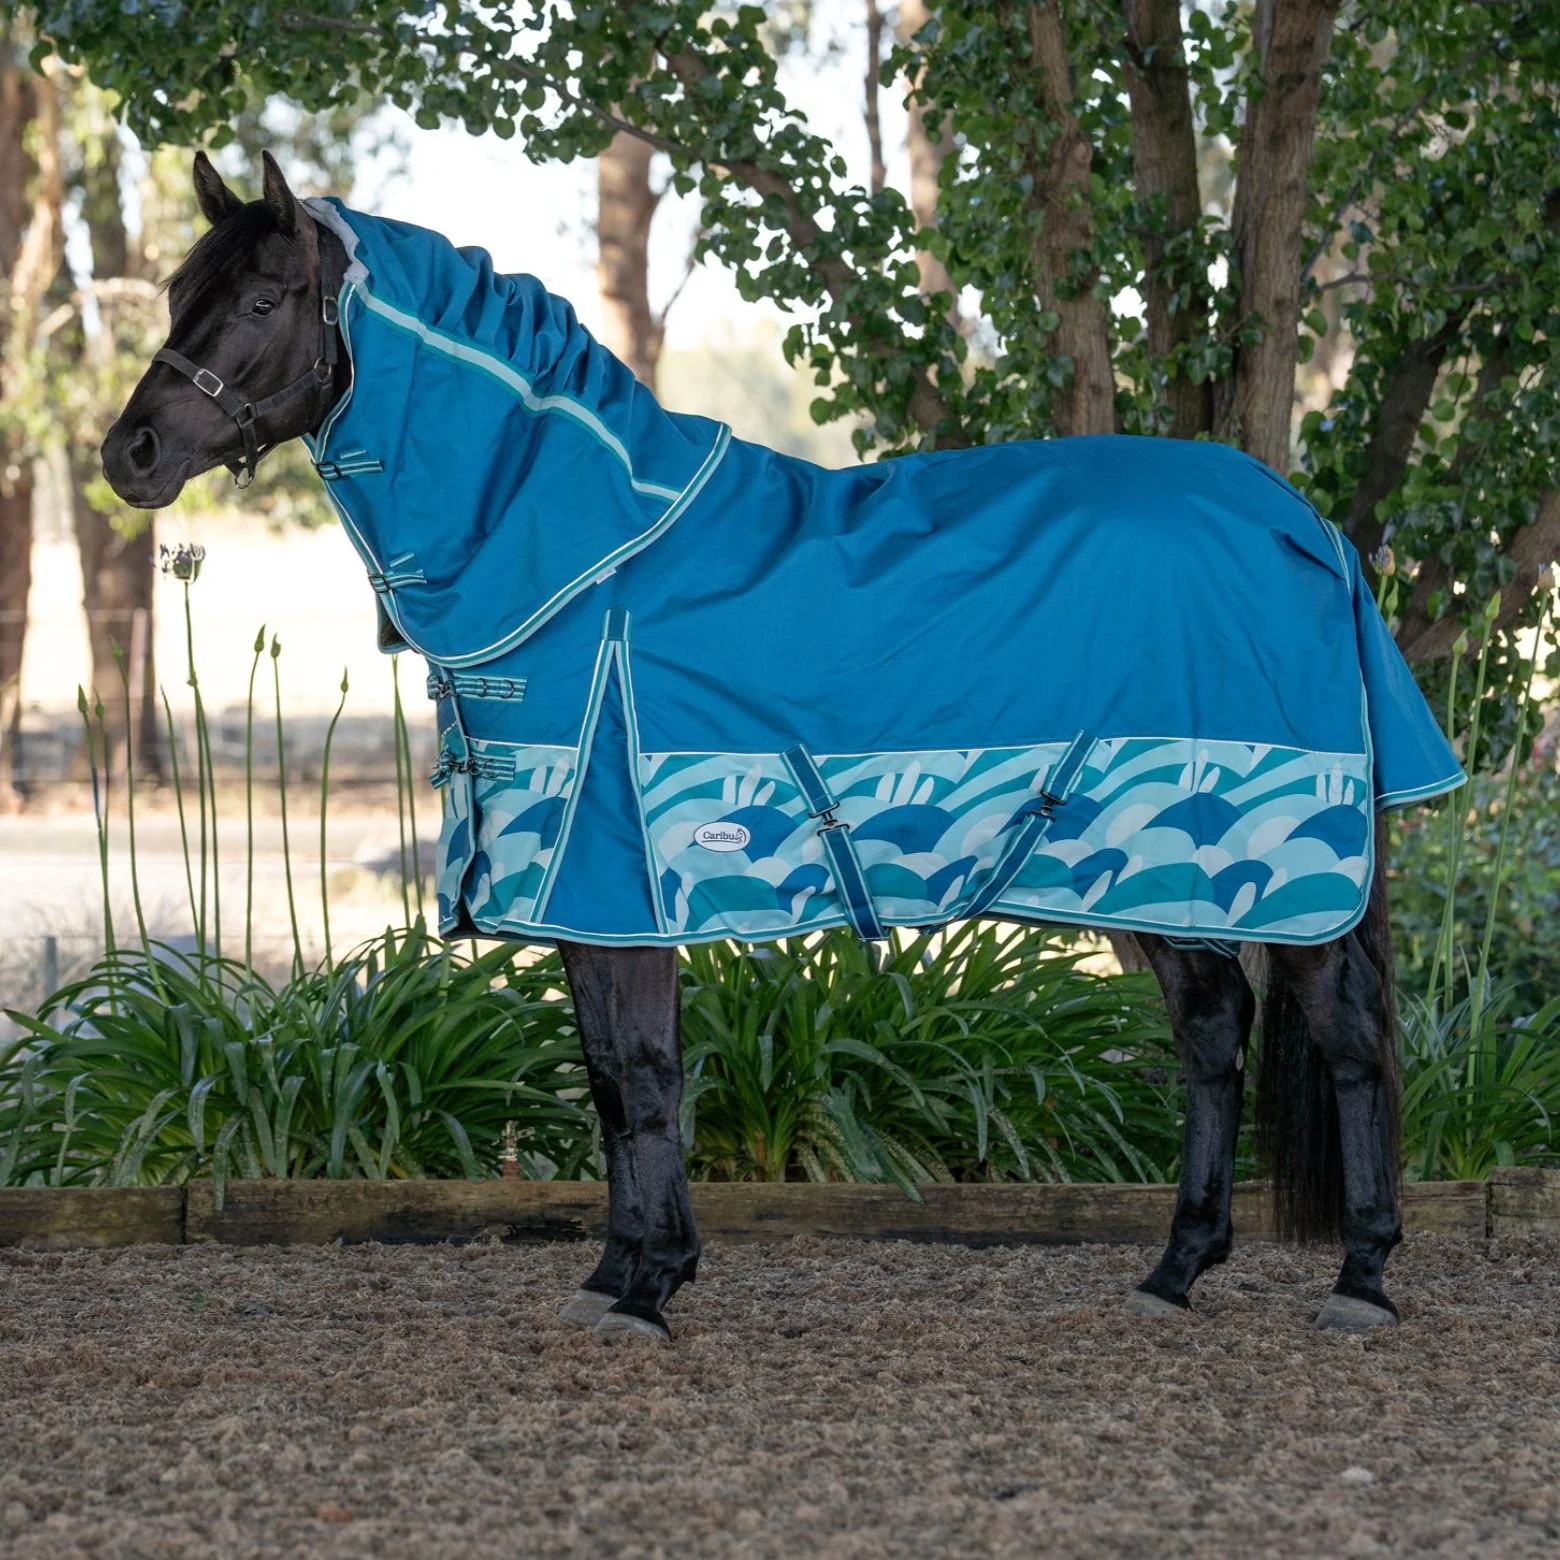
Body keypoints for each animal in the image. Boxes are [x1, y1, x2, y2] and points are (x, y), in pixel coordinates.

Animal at [102, 152, 1463, 1341]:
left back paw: (1363, 1278)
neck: (588, 558)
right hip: (1150, 874)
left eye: (264, 299)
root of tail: (1305, 525)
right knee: (1212, 1035)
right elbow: (607, 1081)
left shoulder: (619, 878)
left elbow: (646, 1073)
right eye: (175, 296)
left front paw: (649, 1289)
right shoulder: (582, 896)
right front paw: (621, 1272)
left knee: (1348, 1042)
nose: (133, 455)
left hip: (1269, 880)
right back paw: (1175, 1270)